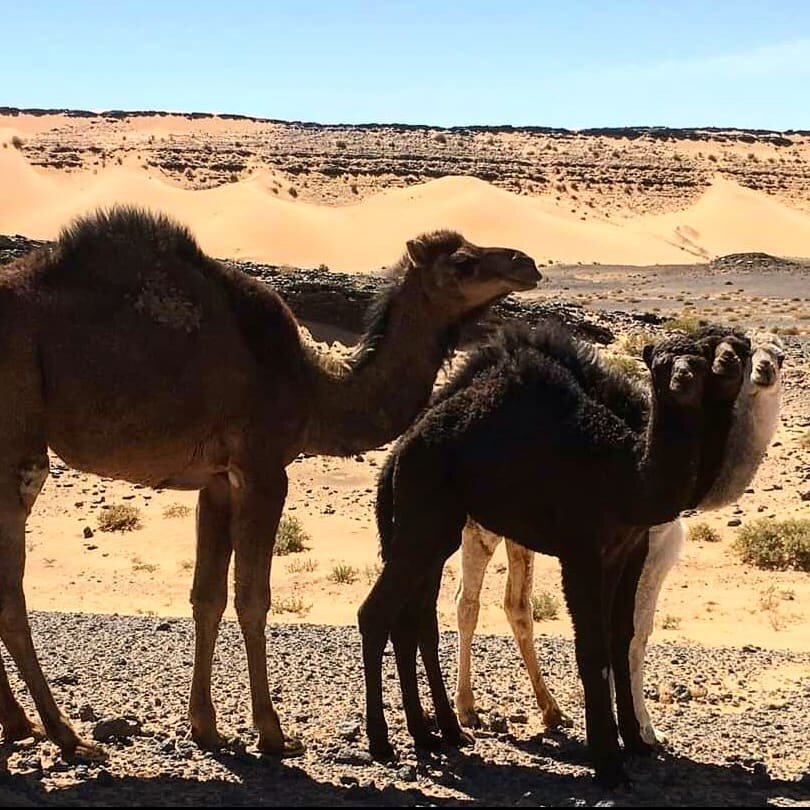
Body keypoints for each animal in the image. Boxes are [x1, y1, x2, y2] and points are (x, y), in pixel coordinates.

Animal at [1, 204, 544, 756]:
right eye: (463, 262)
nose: (525, 262)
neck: (315, 387)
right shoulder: (262, 470)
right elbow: (253, 599)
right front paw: (272, 731)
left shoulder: (217, 480)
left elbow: (208, 598)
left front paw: (206, 726)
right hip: (18, 443)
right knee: (10, 589)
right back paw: (64, 733)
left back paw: (22, 724)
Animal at [360, 322, 720, 784]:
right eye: (660, 365)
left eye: (699, 362)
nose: (681, 379)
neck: (627, 471)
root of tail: (394, 459)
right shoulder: (582, 552)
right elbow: (592, 647)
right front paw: (608, 762)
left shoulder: (627, 550)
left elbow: (619, 636)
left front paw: (635, 742)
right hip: (425, 520)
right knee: (379, 614)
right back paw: (384, 740)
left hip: (429, 531)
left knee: (411, 620)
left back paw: (435, 734)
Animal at [454, 330, 776, 744]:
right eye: (745, 354)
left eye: (776, 355)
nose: (762, 369)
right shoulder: (651, 542)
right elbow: (636, 633)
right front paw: (645, 731)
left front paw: (628, 729)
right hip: (478, 523)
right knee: (467, 602)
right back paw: (466, 709)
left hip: (516, 529)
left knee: (517, 605)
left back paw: (552, 711)